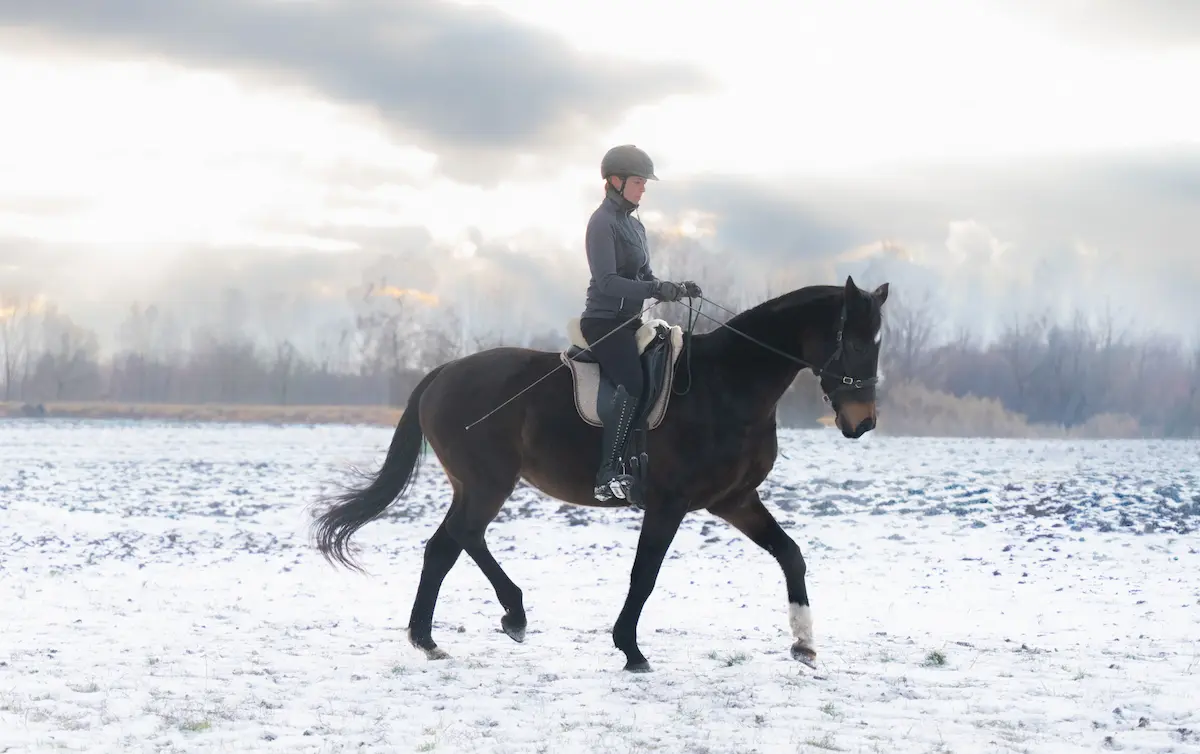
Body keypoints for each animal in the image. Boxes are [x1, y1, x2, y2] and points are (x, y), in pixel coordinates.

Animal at [311, 275, 889, 672]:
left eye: (877, 343)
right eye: (856, 341)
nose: (862, 423)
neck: (727, 386)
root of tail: (445, 373)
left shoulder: (735, 500)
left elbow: (791, 554)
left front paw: (804, 642)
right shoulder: (670, 502)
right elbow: (645, 574)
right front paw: (630, 648)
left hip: (477, 485)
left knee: (448, 544)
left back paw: (442, 634)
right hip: (488, 482)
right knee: (459, 538)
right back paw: (490, 620)